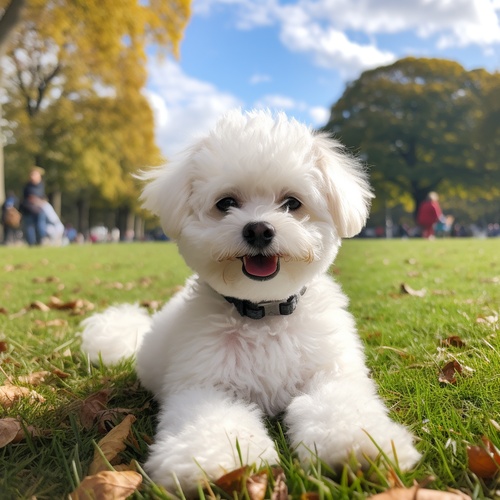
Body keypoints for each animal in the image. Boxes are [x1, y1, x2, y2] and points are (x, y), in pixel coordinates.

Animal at [80, 110, 420, 496]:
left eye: (292, 203)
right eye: (226, 203)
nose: (259, 229)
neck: (265, 313)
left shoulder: (329, 374)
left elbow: (340, 406)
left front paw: (359, 446)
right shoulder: (205, 385)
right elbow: (214, 421)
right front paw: (209, 463)